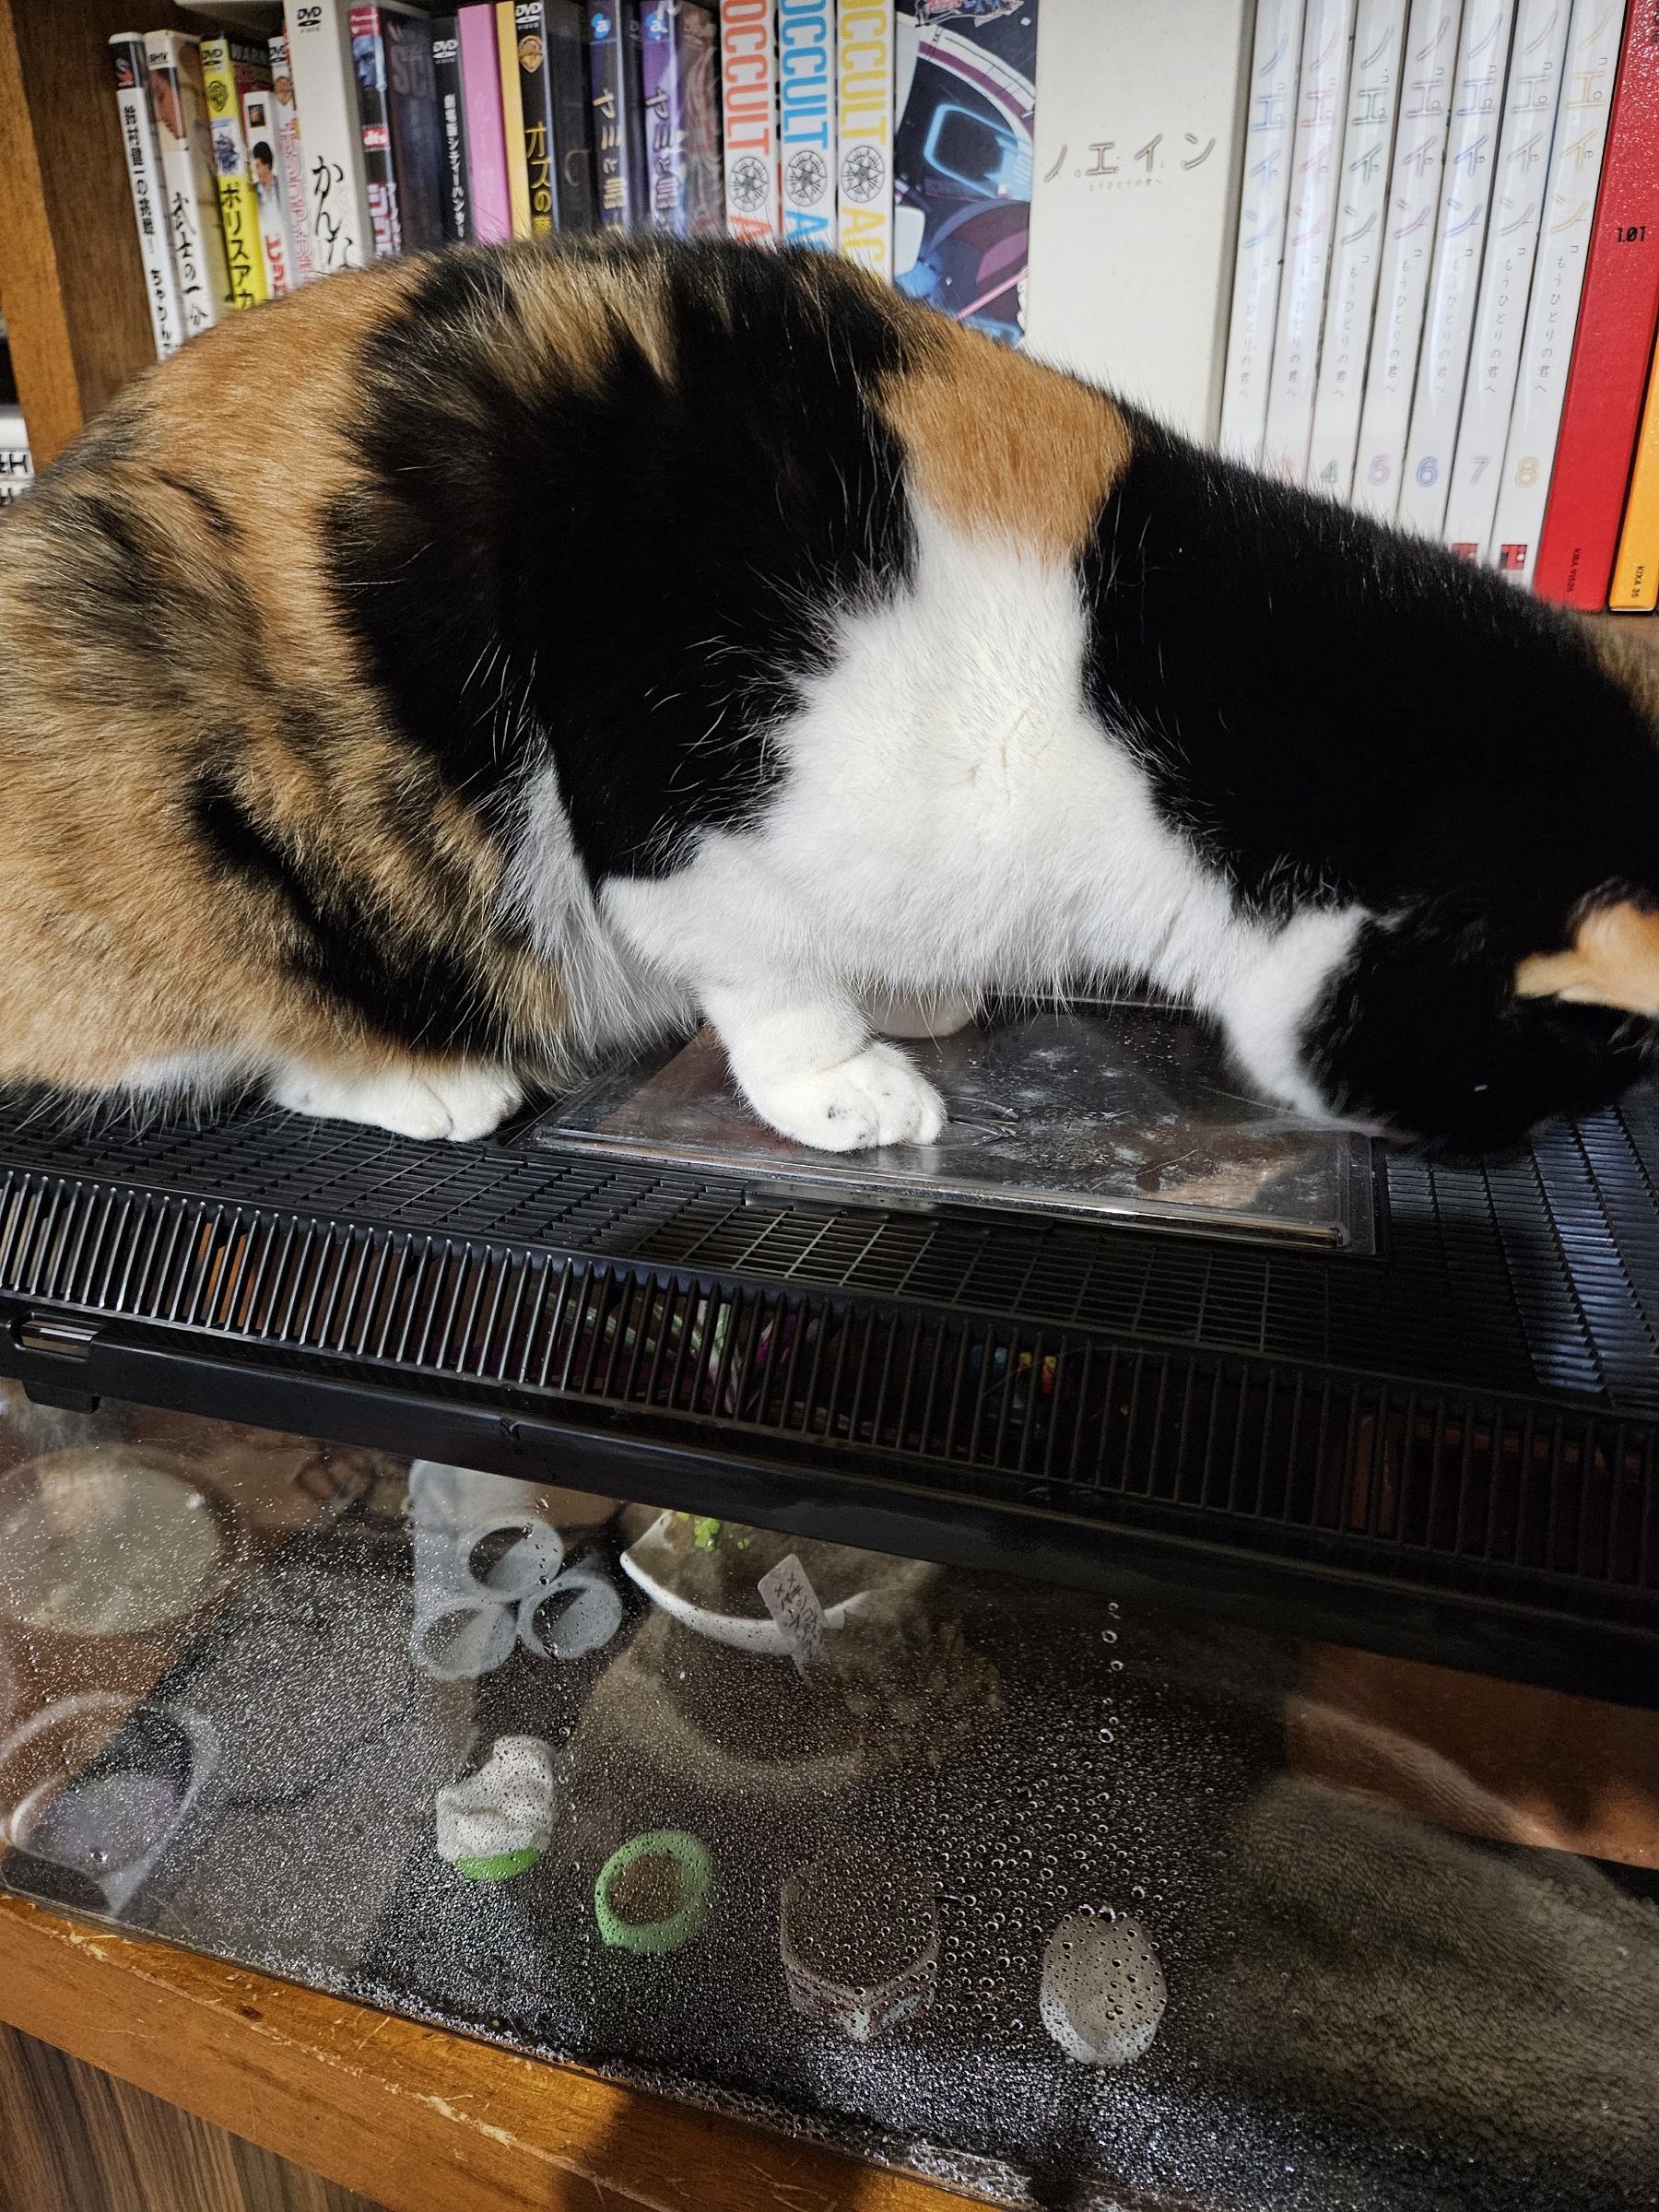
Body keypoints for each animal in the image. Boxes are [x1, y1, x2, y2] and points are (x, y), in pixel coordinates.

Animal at [1, 234, 1657, 1157]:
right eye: (1573, 1070)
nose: (1534, 1147)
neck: (1123, 682)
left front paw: (921, 996)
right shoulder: (684, 807)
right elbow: (765, 973)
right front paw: (847, 1080)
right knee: (254, 1029)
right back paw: (432, 1084)